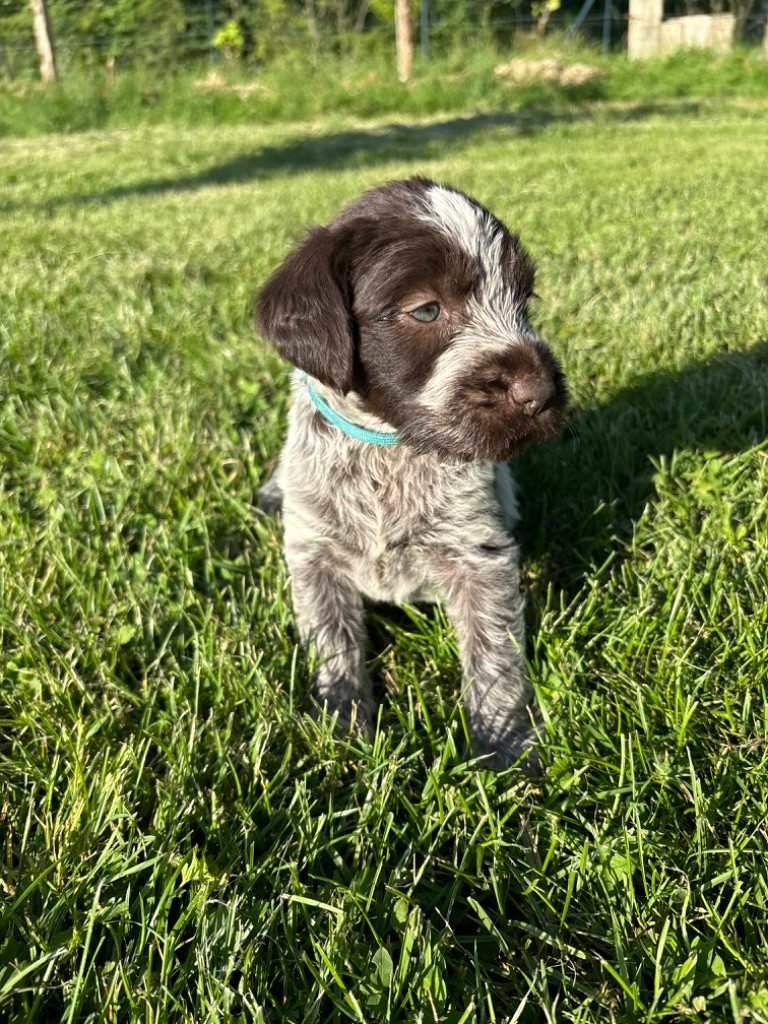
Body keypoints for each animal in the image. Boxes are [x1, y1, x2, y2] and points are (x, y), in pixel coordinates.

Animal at [256, 178, 569, 770]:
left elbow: (494, 659)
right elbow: (334, 649)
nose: (539, 393)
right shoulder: (315, 559)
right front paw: (343, 735)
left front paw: (504, 748)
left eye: (523, 301)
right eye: (426, 311)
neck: (390, 448)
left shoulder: (478, 558)